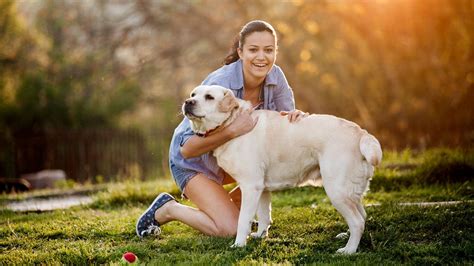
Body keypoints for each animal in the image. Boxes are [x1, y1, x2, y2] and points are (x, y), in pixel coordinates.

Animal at [181, 84, 382, 254]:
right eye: (193, 94)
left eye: (209, 97)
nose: (188, 102)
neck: (231, 123)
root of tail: (361, 133)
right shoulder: (261, 188)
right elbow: (264, 215)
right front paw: (260, 236)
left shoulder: (251, 186)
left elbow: (243, 220)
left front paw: (239, 244)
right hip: (349, 190)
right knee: (362, 215)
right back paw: (347, 237)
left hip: (336, 189)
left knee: (357, 221)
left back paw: (348, 250)